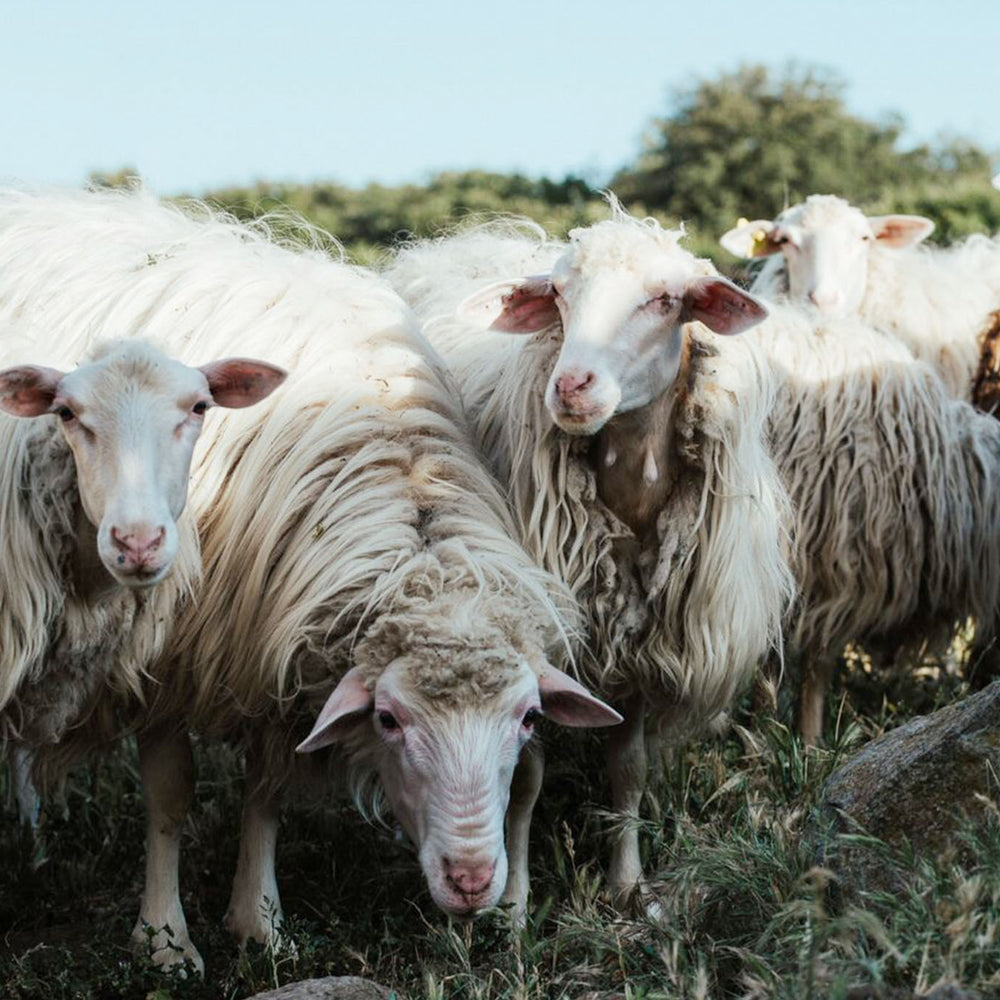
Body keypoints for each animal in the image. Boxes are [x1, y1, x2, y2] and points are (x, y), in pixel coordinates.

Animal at [0, 186, 620, 968]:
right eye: (389, 719)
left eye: (529, 718)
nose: (472, 881)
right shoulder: (169, 653)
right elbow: (171, 797)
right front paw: (166, 940)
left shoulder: (269, 640)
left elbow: (268, 787)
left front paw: (259, 923)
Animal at [384, 207, 796, 904]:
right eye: (558, 295)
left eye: (665, 300)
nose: (571, 386)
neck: (630, 498)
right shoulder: (536, 640)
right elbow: (524, 777)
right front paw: (516, 901)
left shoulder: (637, 644)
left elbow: (628, 769)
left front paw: (627, 881)